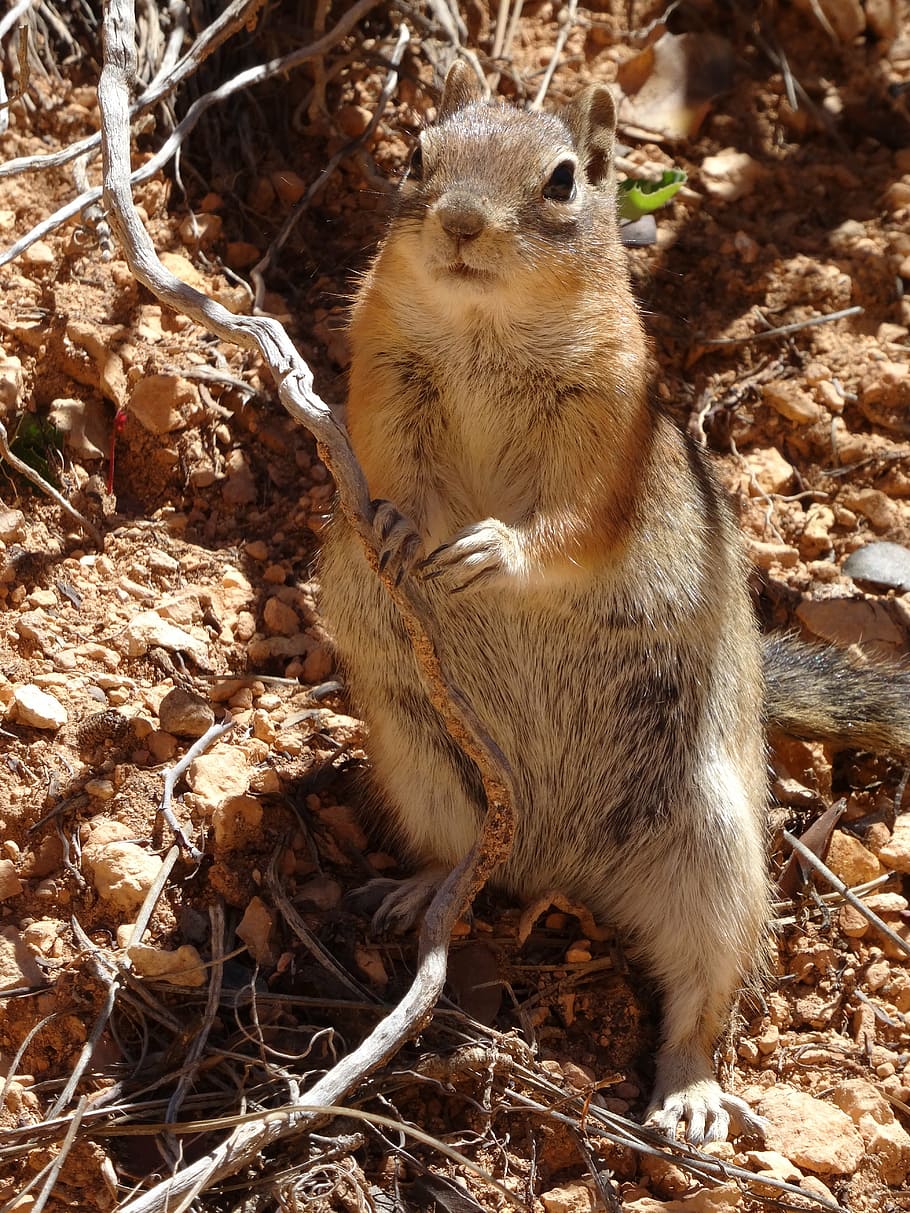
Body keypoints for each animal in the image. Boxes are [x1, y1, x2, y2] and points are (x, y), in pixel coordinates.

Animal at [319, 62, 910, 1145]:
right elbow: (387, 471)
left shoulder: (609, 427)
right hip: (426, 768)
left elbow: (574, 525)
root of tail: (564, 862)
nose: (460, 221)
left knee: (703, 991)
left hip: (711, 849)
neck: (484, 330)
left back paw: (688, 1091)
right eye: (416, 154)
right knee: (466, 857)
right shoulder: (379, 377)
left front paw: (496, 549)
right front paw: (395, 531)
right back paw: (422, 889)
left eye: (562, 180)